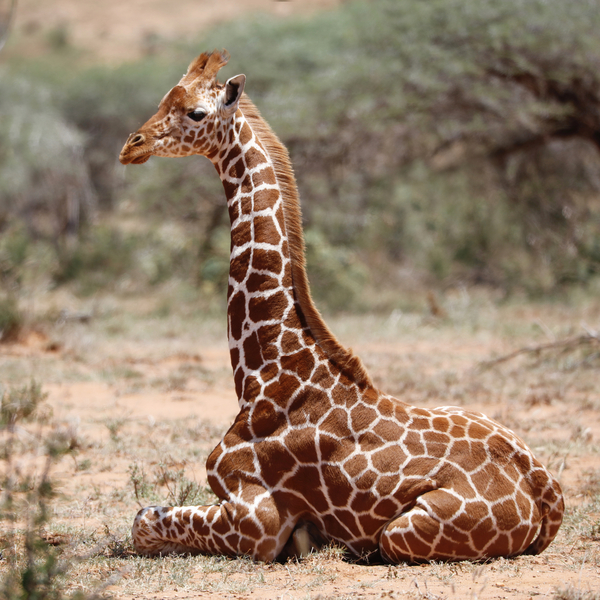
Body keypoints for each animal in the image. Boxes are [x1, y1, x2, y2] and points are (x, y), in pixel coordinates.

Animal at [119, 50, 564, 564]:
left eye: (195, 113)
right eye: (163, 99)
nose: (131, 146)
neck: (268, 370)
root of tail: (543, 492)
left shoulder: (257, 521)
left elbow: (142, 522)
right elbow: (144, 516)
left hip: (403, 532)